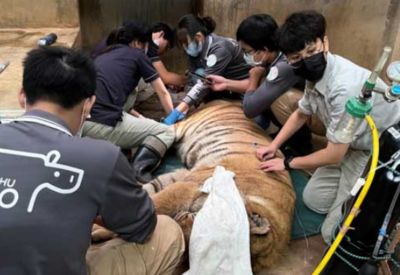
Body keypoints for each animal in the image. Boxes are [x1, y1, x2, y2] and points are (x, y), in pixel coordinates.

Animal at [145, 100, 296, 272]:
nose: (179, 219)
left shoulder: (184, 178)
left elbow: (153, 190)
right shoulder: (190, 186)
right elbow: (158, 202)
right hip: (184, 127)